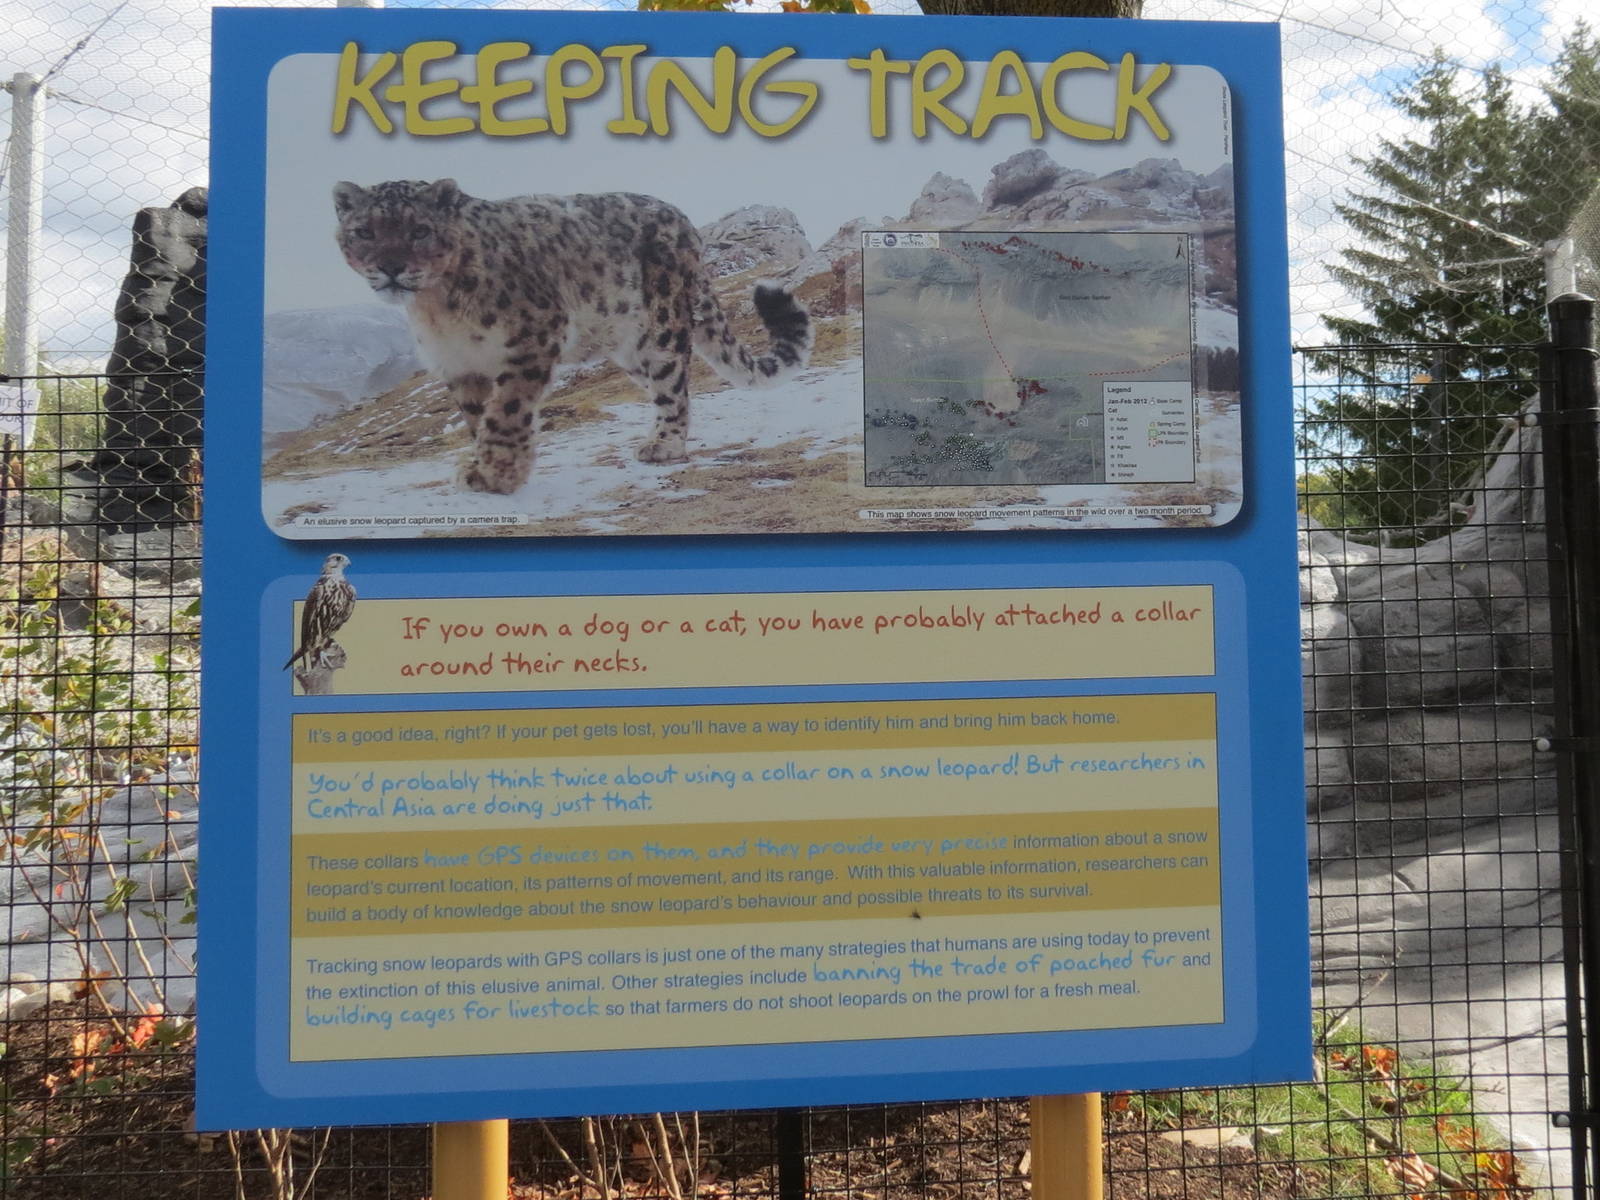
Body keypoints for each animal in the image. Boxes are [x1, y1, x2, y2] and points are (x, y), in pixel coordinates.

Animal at [331, 178, 814, 495]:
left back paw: (664, 445)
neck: (436, 307)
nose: (391, 267)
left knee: (674, 382)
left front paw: (499, 473)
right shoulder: (460, 364)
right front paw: (490, 468)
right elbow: (478, 417)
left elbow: (506, 411)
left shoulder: (532, 335)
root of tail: (685, 223)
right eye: (364, 231)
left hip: (661, 323)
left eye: (420, 230)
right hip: (628, 344)